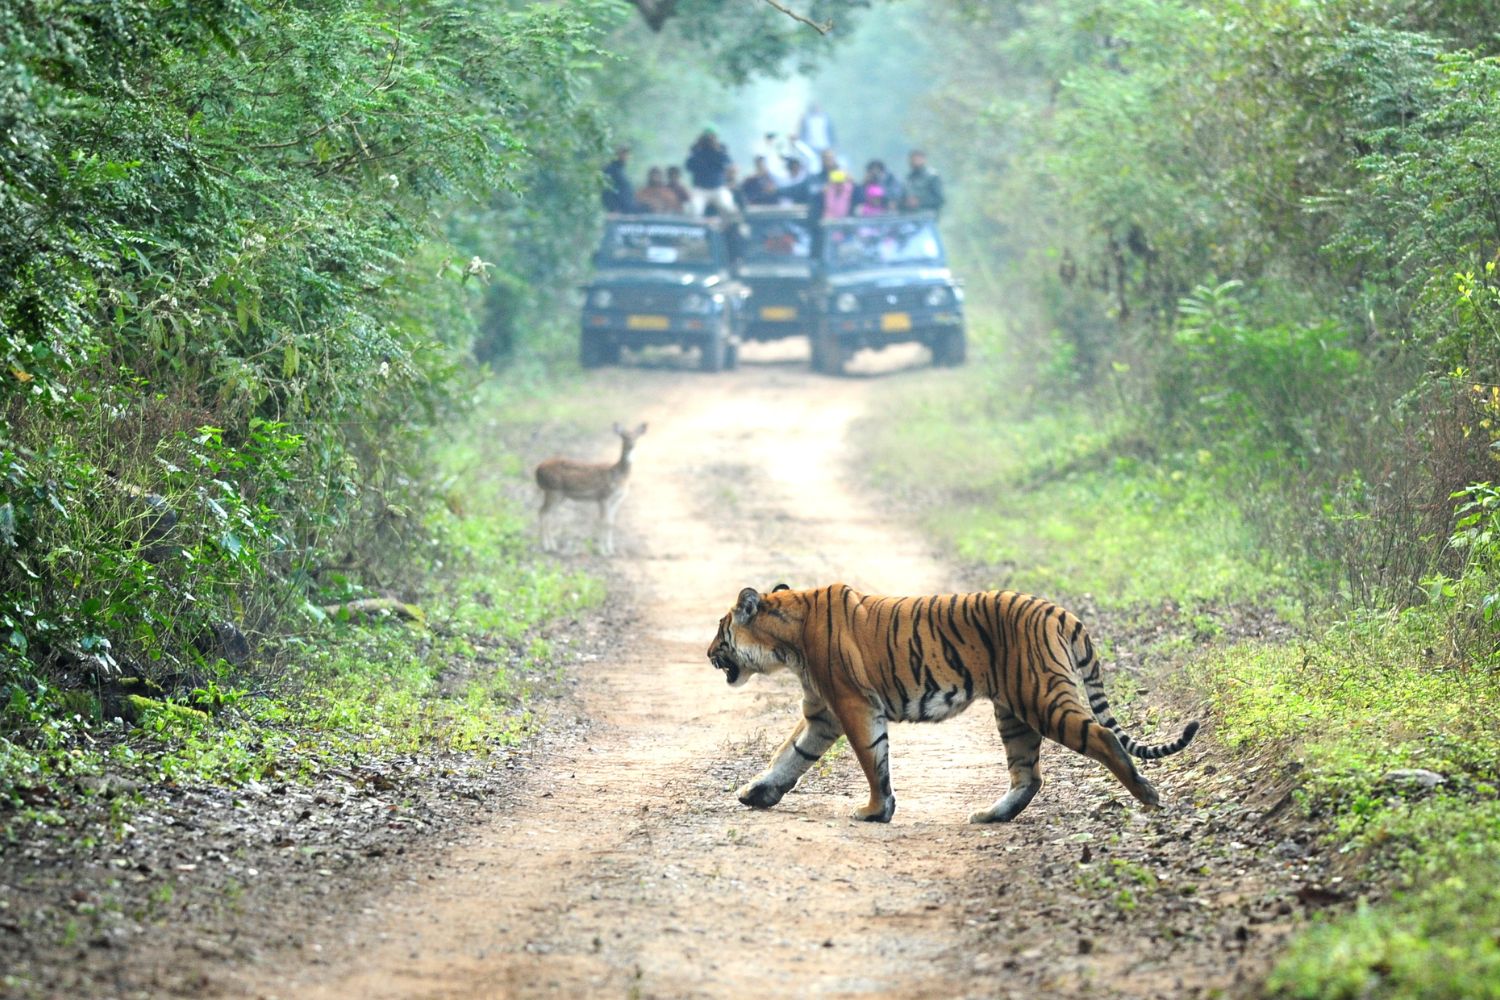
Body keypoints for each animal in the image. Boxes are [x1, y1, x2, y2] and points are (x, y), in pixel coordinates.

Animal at [705, 583, 1199, 823]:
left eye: (720, 629)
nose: (708, 653)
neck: (787, 641)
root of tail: (1061, 612)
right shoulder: (822, 713)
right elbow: (789, 755)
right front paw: (757, 792)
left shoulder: (852, 705)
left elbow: (871, 759)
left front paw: (875, 811)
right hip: (1014, 712)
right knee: (1029, 775)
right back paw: (990, 815)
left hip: (1041, 697)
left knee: (1101, 737)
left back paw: (1148, 796)